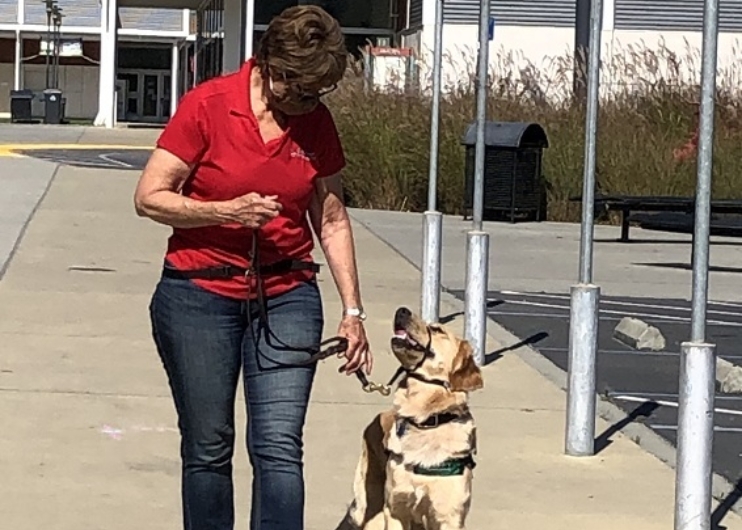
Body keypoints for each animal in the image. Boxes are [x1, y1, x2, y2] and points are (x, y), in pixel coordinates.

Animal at [342, 306, 486, 528]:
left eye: (437, 329)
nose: (402, 311)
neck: (426, 420)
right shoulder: (395, 509)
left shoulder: (449, 516)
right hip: (371, 504)